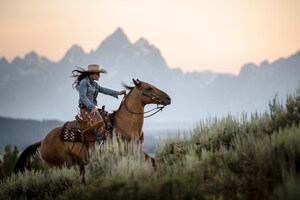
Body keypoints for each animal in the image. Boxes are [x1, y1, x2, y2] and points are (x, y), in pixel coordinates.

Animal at [13, 79, 171, 179]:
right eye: (149, 88)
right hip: (63, 165)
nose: (168, 98)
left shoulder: (137, 151)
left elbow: (153, 162)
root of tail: (43, 140)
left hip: (77, 164)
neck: (123, 126)